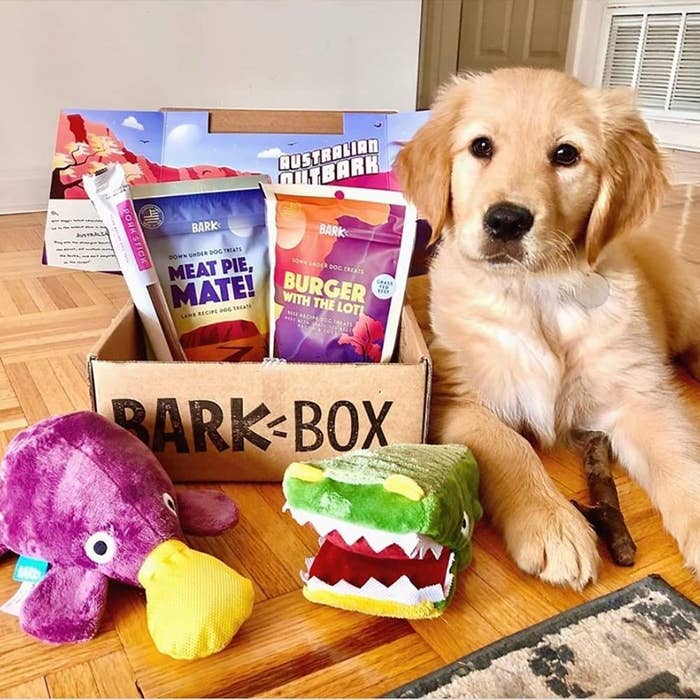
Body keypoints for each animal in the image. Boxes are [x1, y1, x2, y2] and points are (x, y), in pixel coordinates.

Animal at [396, 68, 696, 588]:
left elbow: (677, 455)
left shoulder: (638, 394)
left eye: (566, 154)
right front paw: (553, 523)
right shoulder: (460, 400)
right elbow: (511, 446)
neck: (535, 292)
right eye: (481, 146)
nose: (506, 221)